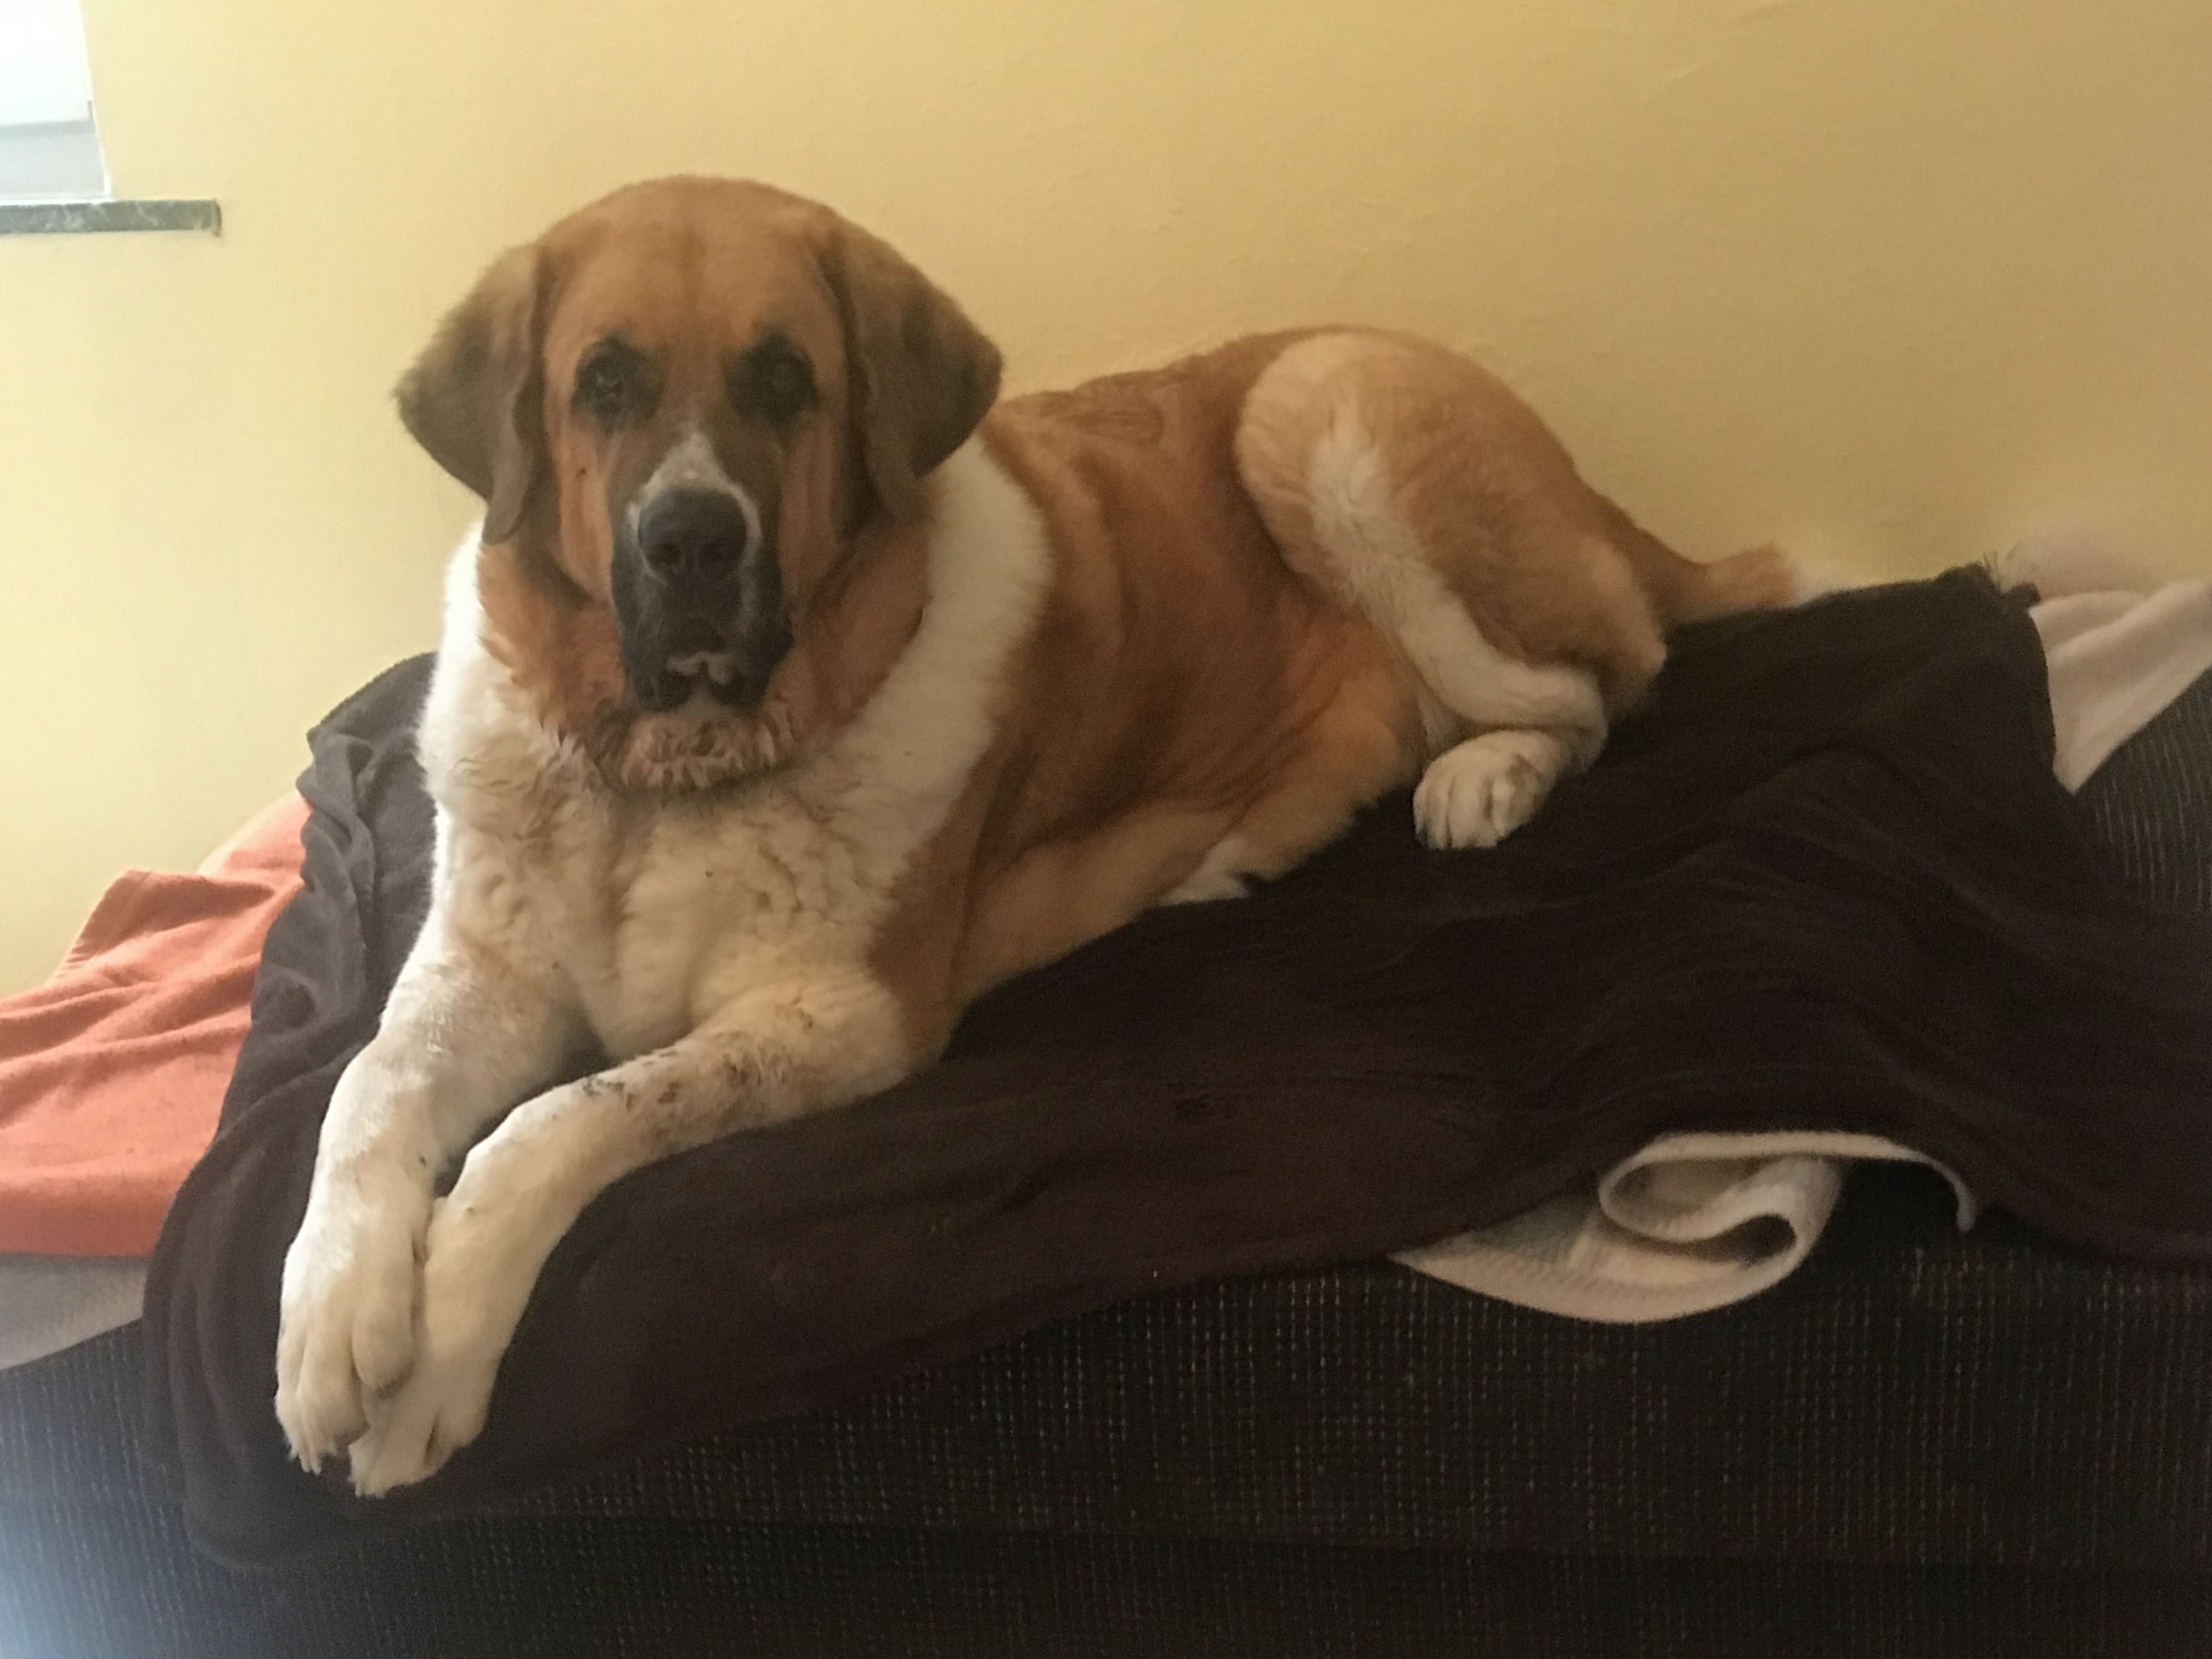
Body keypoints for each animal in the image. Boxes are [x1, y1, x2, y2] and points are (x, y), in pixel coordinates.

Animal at [275, 176, 1800, 1493]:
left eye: (784, 381)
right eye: (604, 384)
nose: (691, 542)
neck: (660, 782)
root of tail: (1592, 491)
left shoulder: (843, 1018)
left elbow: (561, 1120)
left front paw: (435, 1352)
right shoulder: (483, 973)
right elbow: (369, 1085)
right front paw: (334, 1314)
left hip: (1322, 409)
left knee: (1600, 689)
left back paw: (1481, 779)